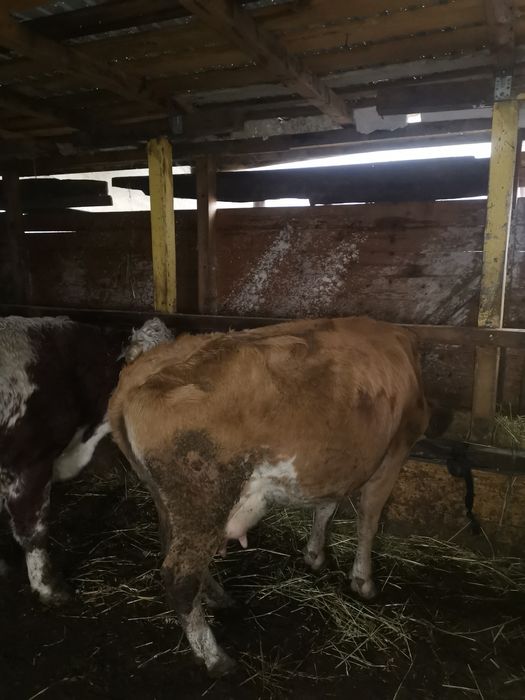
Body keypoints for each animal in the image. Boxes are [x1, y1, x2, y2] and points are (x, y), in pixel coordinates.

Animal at [108, 315, 430, 677]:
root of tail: (137, 375)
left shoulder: (333, 463)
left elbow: (326, 507)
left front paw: (315, 554)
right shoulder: (396, 451)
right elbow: (368, 521)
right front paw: (363, 581)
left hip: (169, 501)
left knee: (173, 550)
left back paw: (220, 598)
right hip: (204, 498)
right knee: (180, 576)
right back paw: (215, 657)